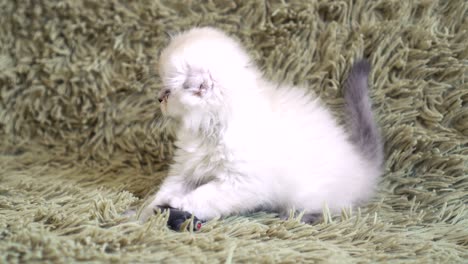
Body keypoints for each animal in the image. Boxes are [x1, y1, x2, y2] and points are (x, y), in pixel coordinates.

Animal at [140, 26, 384, 222]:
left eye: (168, 92)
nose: (158, 98)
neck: (208, 130)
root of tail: (360, 165)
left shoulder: (239, 183)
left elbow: (203, 196)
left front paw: (177, 204)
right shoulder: (185, 168)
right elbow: (164, 190)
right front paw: (143, 213)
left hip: (307, 195)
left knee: (329, 211)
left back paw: (294, 217)